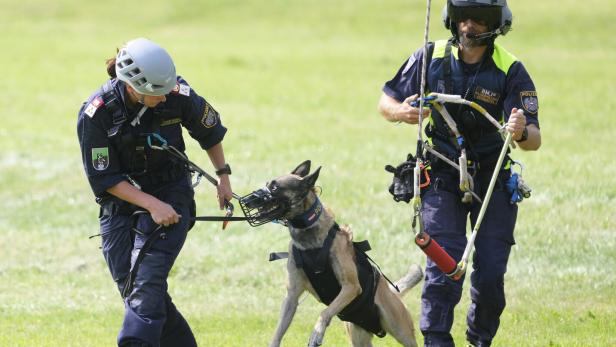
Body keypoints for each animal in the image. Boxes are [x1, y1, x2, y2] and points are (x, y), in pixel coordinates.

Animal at [242, 163, 424, 347]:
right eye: (267, 184)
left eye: (274, 187)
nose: (246, 201)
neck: (310, 239)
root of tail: (393, 293)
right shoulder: (291, 296)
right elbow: (279, 330)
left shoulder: (351, 287)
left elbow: (324, 312)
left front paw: (317, 333)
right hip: (358, 337)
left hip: (401, 332)